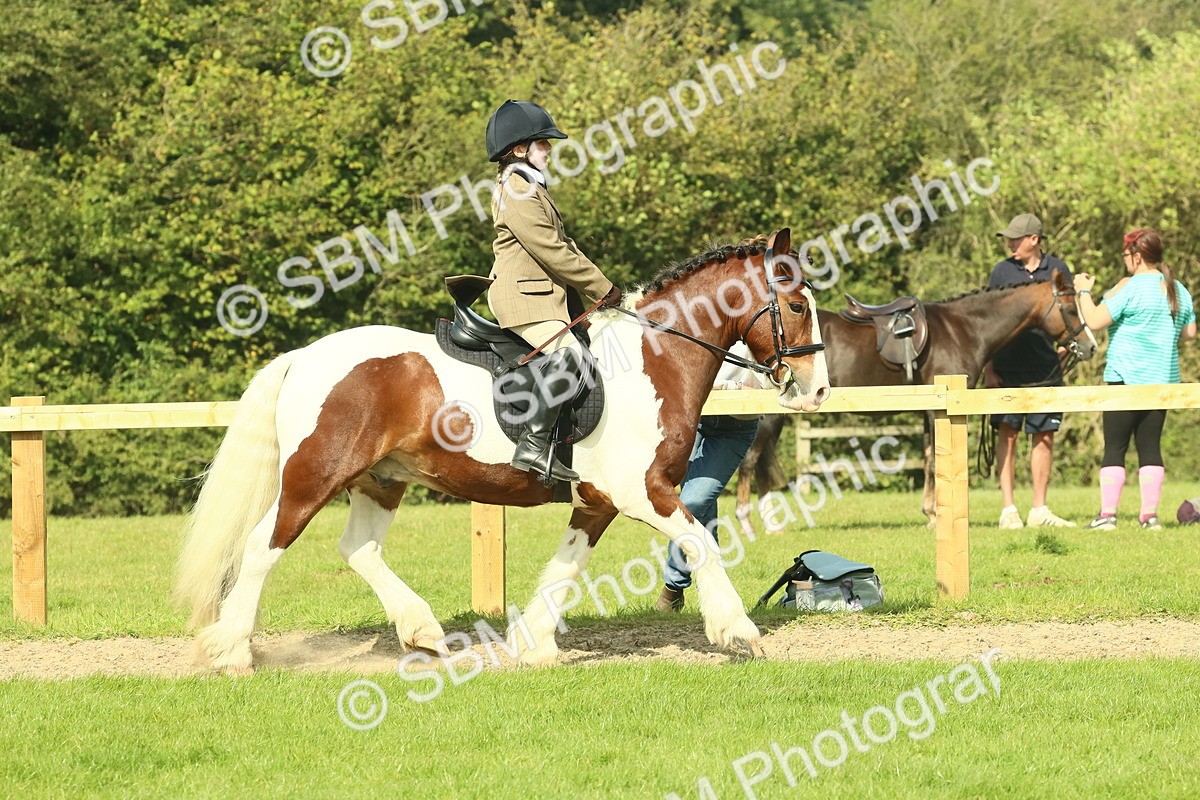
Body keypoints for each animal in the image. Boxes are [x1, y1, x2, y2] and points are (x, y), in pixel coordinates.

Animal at [175, 228, 830, 674]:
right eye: (797, 305)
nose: (817, 389)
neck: (657, 358)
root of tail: (304, 356)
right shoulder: (643, 491)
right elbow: (700, 542)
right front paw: (738, 631)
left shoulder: (598, 500)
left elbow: (567, 567)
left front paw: (532, 644)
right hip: (314, 475)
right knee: (263, 547)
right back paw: (232, 651)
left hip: (382, 479)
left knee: (358, 549)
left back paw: (423, 632)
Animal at [734, 267, 1096, 528]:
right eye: (1069, 308)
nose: (1090, 346)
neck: (963, 329)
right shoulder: (940, 410)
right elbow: (936, 460)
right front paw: (937, 517)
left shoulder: (928, 410)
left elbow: (926, 457)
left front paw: (930, 512)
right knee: (750, 461)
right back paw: (747, 523)